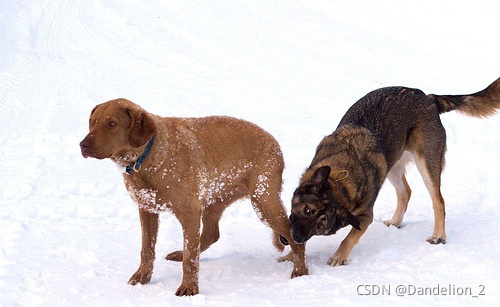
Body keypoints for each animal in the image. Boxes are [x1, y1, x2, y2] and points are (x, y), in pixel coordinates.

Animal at [79, 98, 306, 296]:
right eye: (92, 122)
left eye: (112, 124)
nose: (83, 145)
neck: (147, 156)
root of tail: (274, 142)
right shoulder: (147, 209)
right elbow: (147, 249)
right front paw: (143, 276)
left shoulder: (189, 213)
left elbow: (191, 260)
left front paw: (189, 288)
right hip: (214, 200)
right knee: (211, 235)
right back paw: (179, 253)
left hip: (263, 200)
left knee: (292, 234)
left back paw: (300, 270)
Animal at [284, 79, 498, 268]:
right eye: (307, 210)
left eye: (321, 226)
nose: (295, 236)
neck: (341, 178)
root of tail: (428, 98)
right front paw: (289, 255)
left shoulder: (365, 217)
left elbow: (349, 238)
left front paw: (339, 256)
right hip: (391, 165)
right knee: (406, 192)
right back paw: (396, 221)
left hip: (426, 164)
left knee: (439, 201)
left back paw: (438, 235)